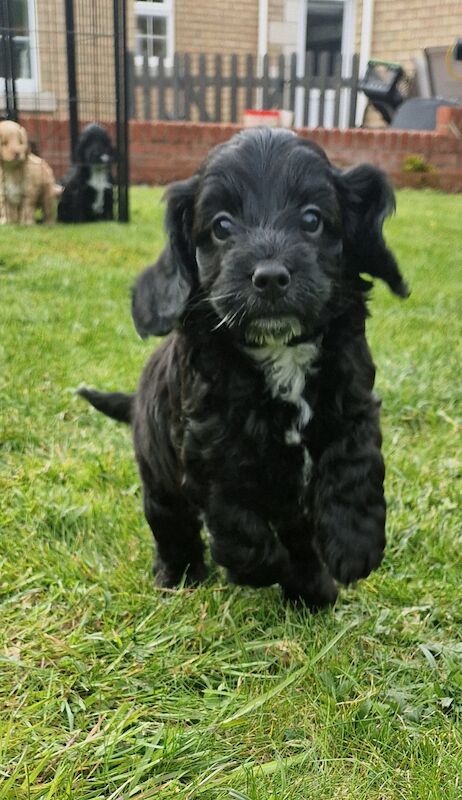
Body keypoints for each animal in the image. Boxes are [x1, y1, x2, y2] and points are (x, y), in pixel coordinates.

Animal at [78, 130, 408, 608]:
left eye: (312, 219)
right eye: (221, 226)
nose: (269, 277)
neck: (278, 351)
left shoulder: (354, 402)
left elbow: (355, 463)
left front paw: (354, 546)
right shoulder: (208, 439)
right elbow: (235, 516)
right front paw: (260, 568)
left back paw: (312, 590)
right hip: (158, 479)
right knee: (172, 527)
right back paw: (178, 575)